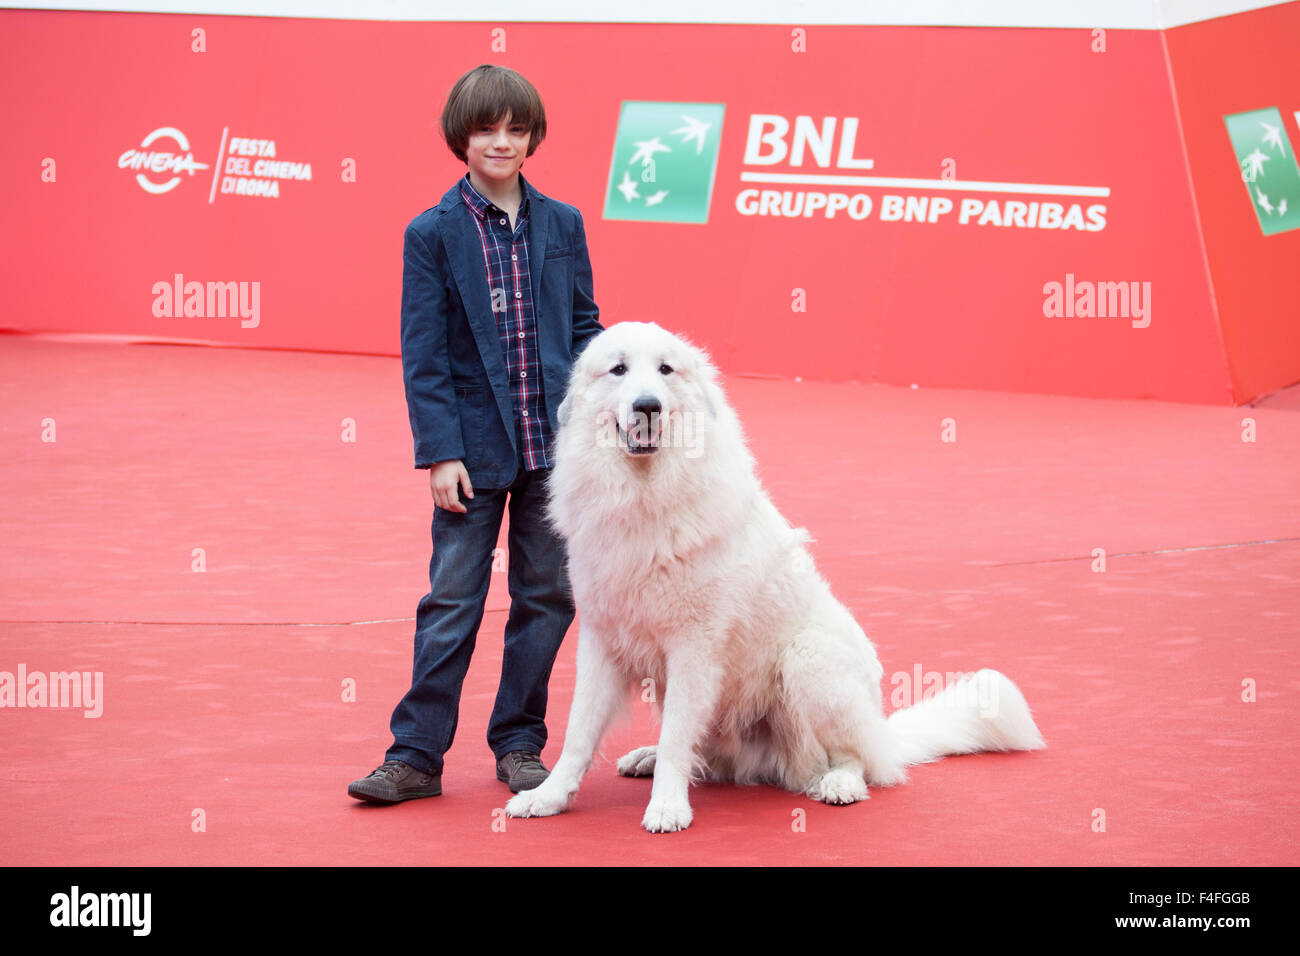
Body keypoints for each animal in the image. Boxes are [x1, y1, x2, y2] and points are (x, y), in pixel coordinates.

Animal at [501, 321, 1040, 832]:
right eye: (618, 370)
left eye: (664, 370)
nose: (648, 405)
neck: (645, 491)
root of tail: (884, 730)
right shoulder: (602, 638)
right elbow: (580, 731)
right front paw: (548, 797)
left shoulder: (694, 647)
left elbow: (676, 736)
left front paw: (668, 807)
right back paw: (647, 759)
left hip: (809, 662)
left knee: (859, 761)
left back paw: (838, 783)